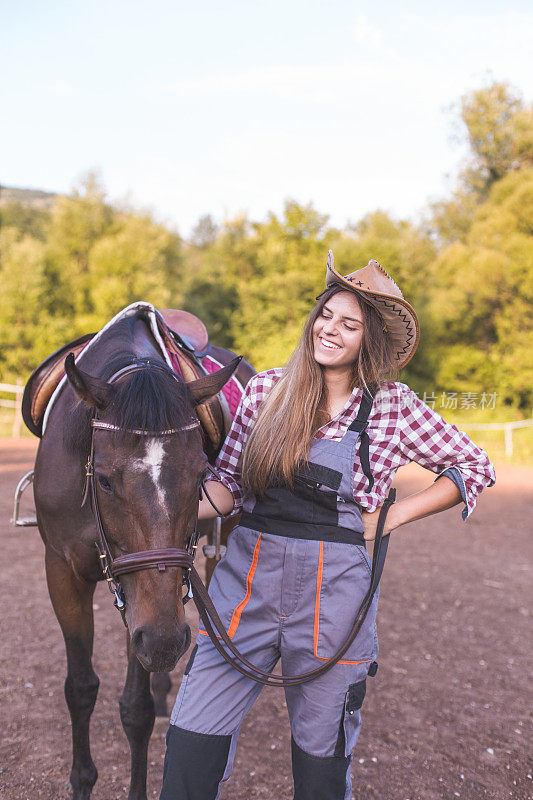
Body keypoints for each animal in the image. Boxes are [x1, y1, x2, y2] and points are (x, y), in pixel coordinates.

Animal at [34, 314, 246, 800]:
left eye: (201, 475)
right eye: (105, 480)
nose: (166, 642)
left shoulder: (147, 602)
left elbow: (135, 708)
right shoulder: (62, 571)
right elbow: (80, 688)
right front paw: (81, 781)